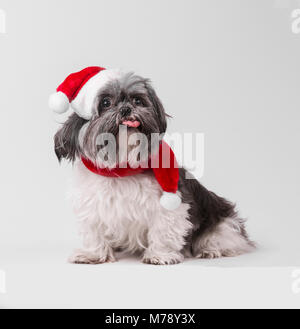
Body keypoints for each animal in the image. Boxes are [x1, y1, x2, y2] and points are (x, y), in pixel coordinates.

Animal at [48, 66, 253, 264]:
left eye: (137, 100)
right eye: (105, 103)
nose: (126, 109)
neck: (122, 168)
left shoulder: (171, 205)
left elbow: (164, 230)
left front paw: (160, 255)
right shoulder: (92, 207)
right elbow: (93, 233)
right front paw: (92, 254)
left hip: (222, 221)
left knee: (224, 238)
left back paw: (210, 250)